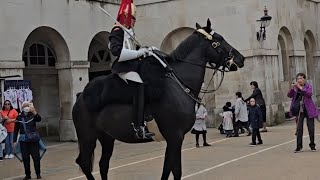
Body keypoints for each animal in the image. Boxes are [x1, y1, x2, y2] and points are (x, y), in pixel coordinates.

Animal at [72, 19, 245, 179]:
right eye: (219, 39)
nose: (241, 58)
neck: (179, 83)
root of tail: (81, 96)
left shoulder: (174, 138)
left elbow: (170, 169)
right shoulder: (175, 136)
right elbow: (174, 170)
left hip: (106, 136)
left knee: (103, 164)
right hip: (87, 136)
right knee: (84, 163)